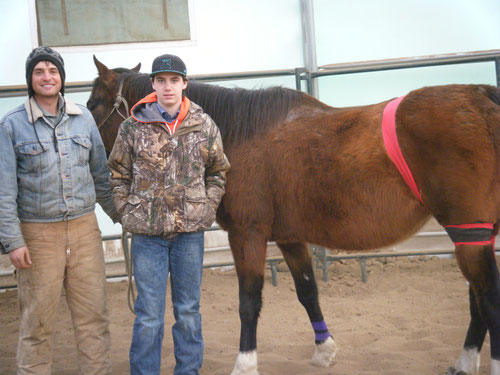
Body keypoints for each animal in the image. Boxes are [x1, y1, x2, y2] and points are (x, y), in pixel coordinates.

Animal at [89, 56, 500, 375]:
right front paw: (324, 350)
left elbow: (249, 300)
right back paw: (464, 363)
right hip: (478, 232)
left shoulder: (248, 234)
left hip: (468, 232)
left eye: (93, 104)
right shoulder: (289, 237)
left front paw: (245, 363)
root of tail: (482, 98)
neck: (239, 134)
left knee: (487, 297)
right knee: (477, 298)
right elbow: (307, 291)